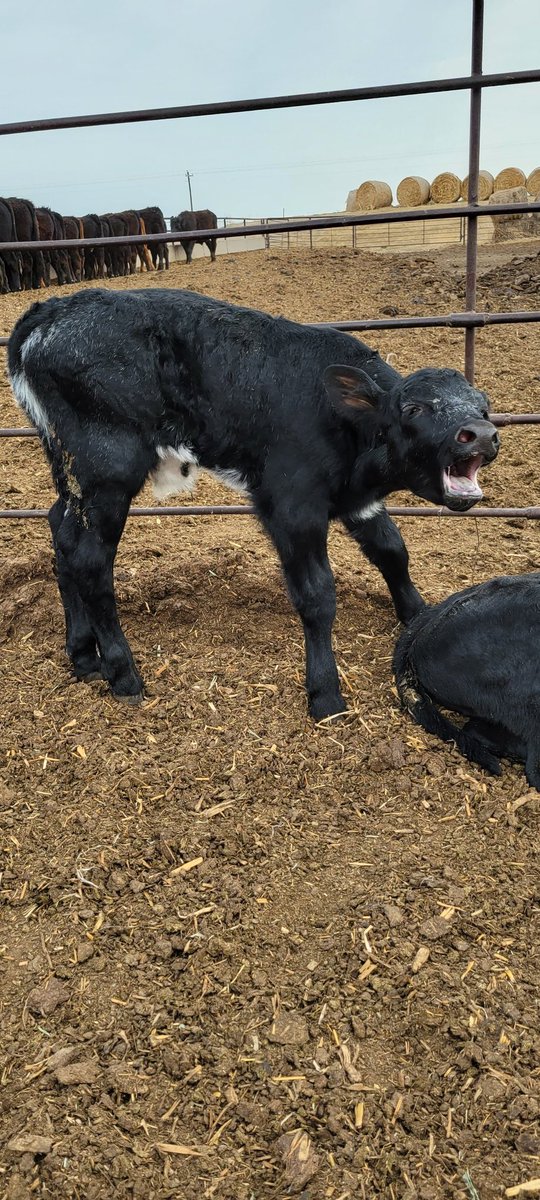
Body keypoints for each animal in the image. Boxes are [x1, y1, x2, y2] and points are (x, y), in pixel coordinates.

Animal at [8, 288, 499, 716]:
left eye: (484, 406)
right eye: (413, 409)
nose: (480, 433)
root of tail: (52, 310)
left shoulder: (357, 500)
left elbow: (393, 552)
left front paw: (419, 615)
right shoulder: (292, 506)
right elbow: (317, 595)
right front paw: (325, 694)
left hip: (73, 474)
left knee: (61, 533)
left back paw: (82, 656)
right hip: (107, 469)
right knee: (90, 560)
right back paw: (122, 673)